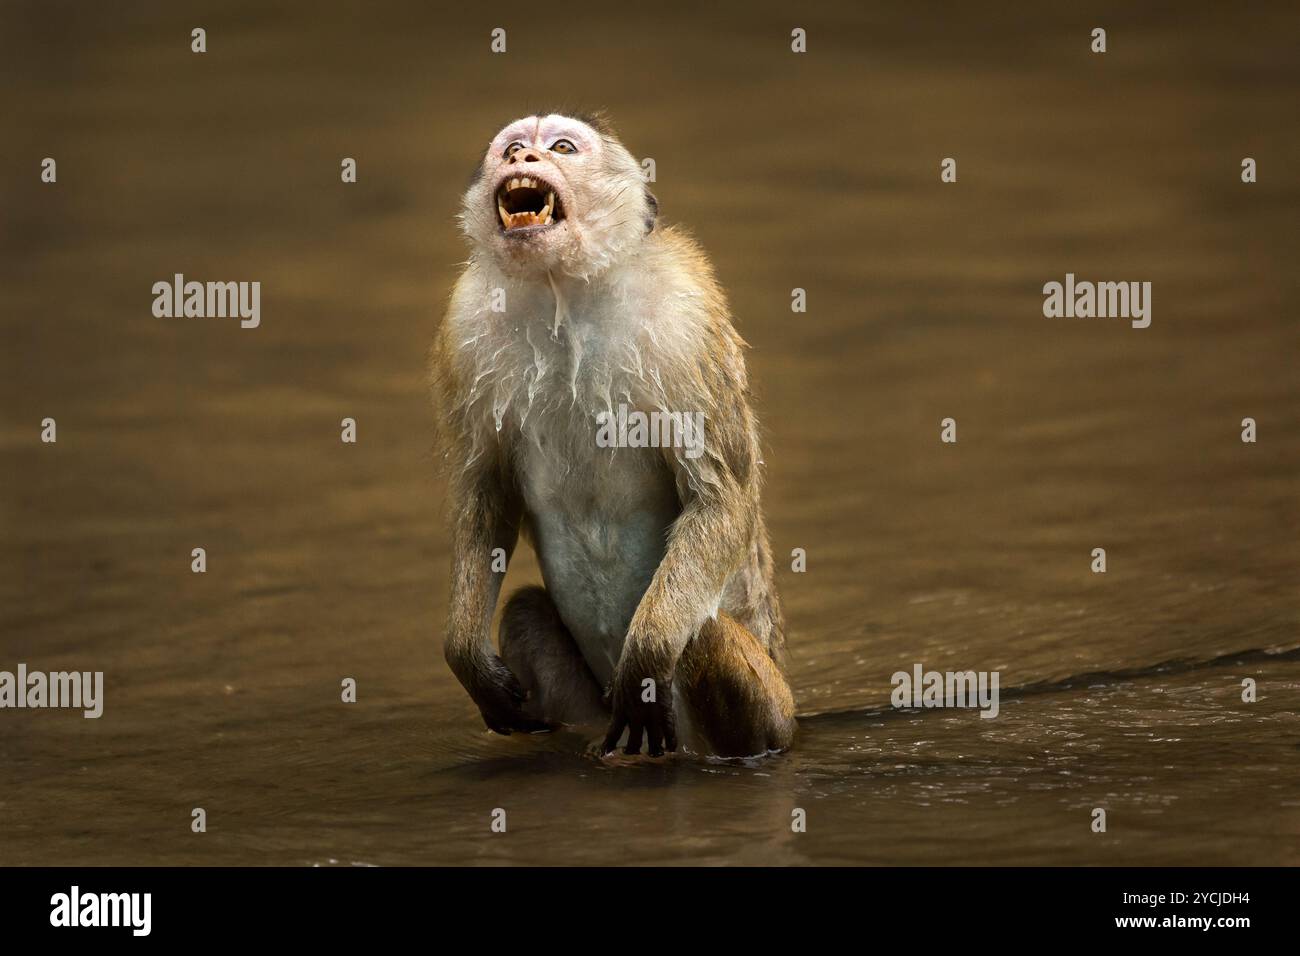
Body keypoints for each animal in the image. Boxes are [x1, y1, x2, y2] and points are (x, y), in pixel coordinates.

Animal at [430, 112, 795, 759]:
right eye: (512, 147)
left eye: (562, 147)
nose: (522, 157)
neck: (565, 294)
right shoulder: (466, 324)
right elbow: (485, 494)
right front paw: (466, 653)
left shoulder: (686, 319)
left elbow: (719, 499)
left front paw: (646, 656)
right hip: (593, 713)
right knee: (525, 612)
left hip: (768, 709)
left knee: (706, 644)